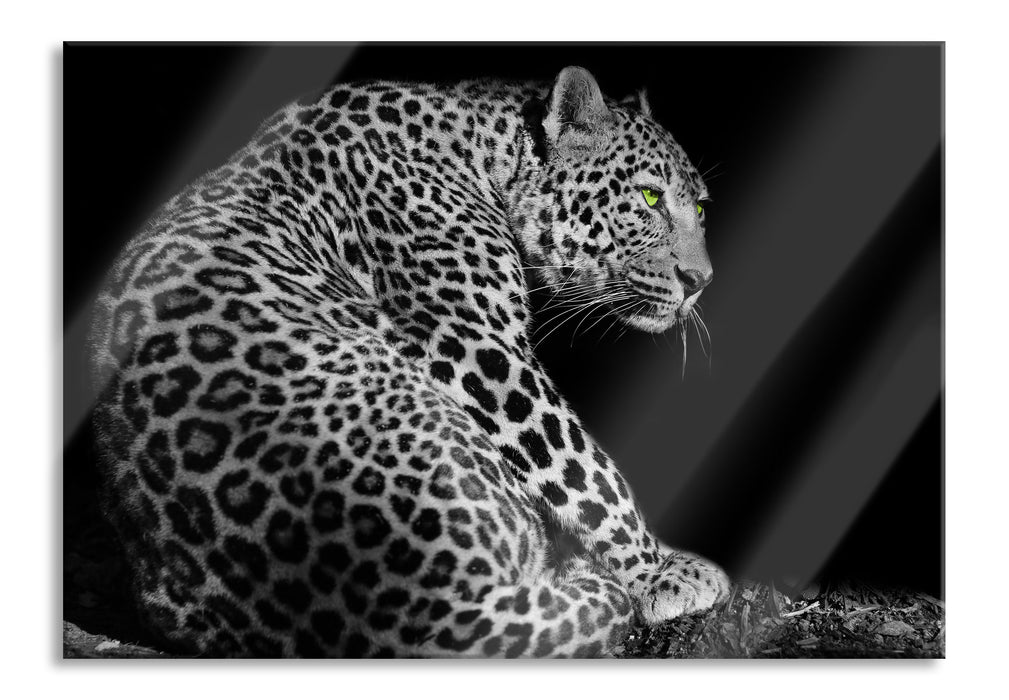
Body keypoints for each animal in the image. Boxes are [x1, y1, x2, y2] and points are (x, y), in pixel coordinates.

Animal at [87, 65, 729, 658]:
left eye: (699, 207)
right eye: (649, 197)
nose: (700, 282)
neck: (485, 148)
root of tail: (404, 609)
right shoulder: (475, 346)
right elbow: (581, 466)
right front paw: (659, 573)